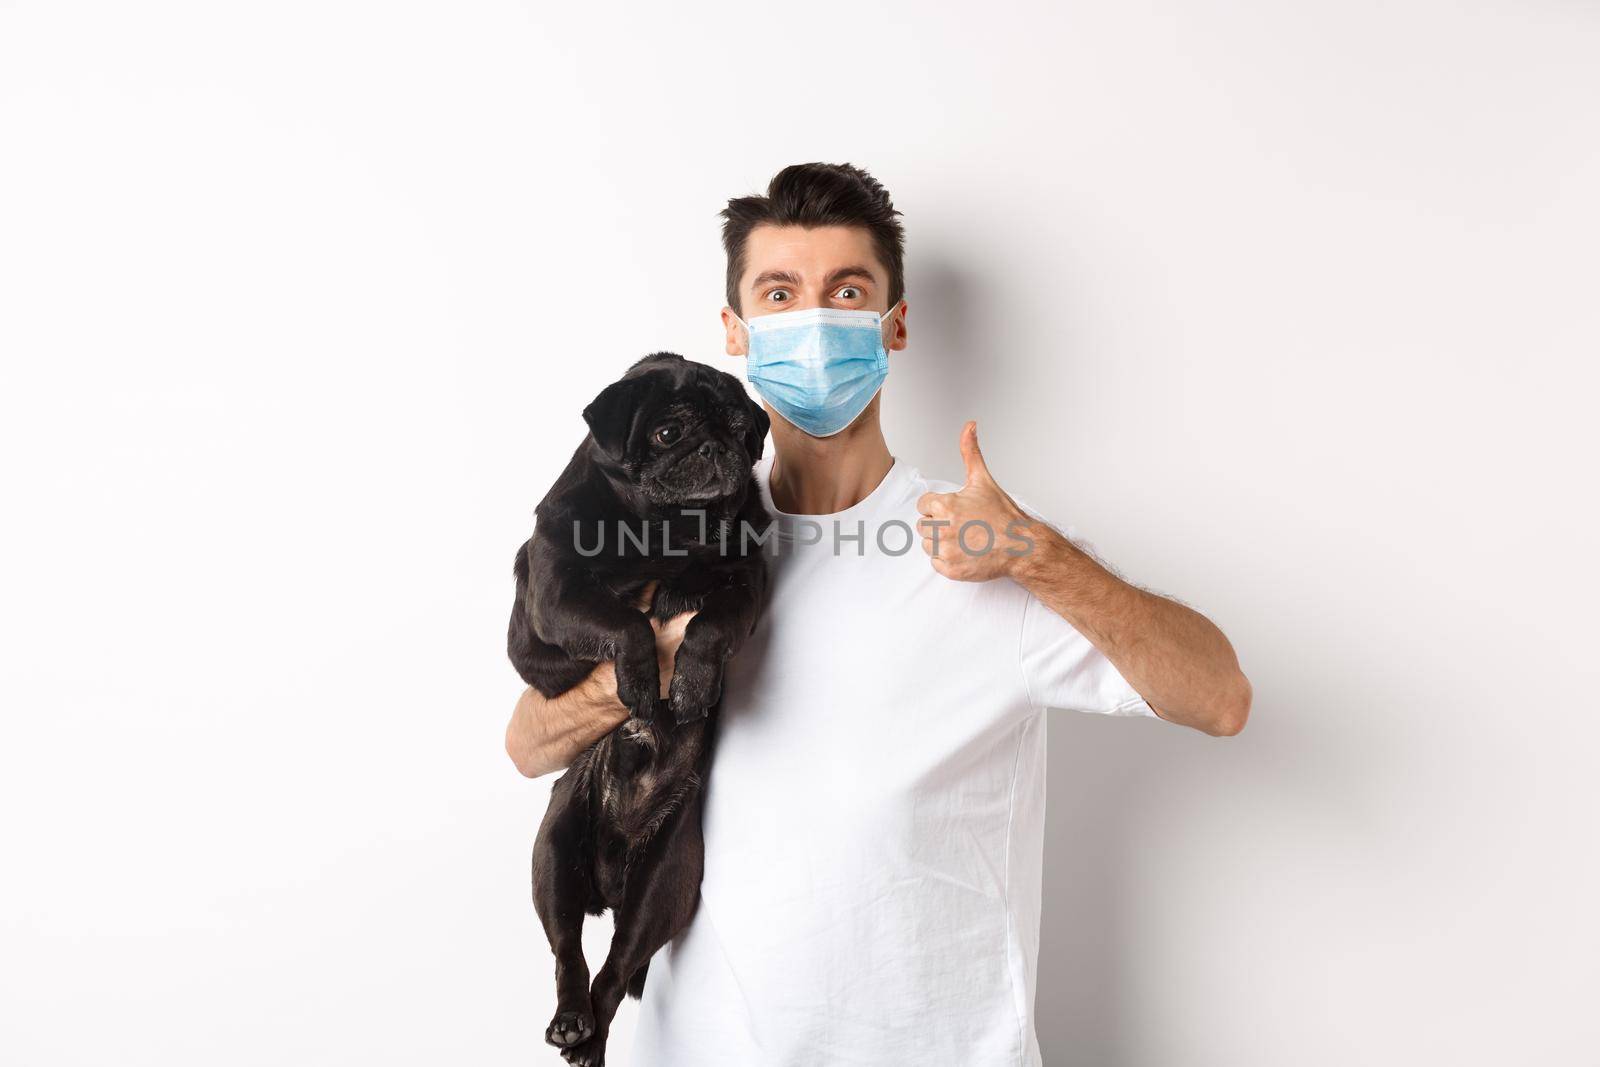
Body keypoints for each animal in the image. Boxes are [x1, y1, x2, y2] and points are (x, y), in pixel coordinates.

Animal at [505, 355, 768, 1062]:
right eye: (668, 432)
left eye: (741, 427)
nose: (717, 445)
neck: (665, 530)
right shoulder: (555, 600)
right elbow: (624, 623)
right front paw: (644, 679)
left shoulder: (746, 580)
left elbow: (708, 625)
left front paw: (692, 682)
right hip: (552, 854)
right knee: (569, 951)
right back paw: (571, 1023)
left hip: (664, 883)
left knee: (618, 968)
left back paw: (589, 1037)